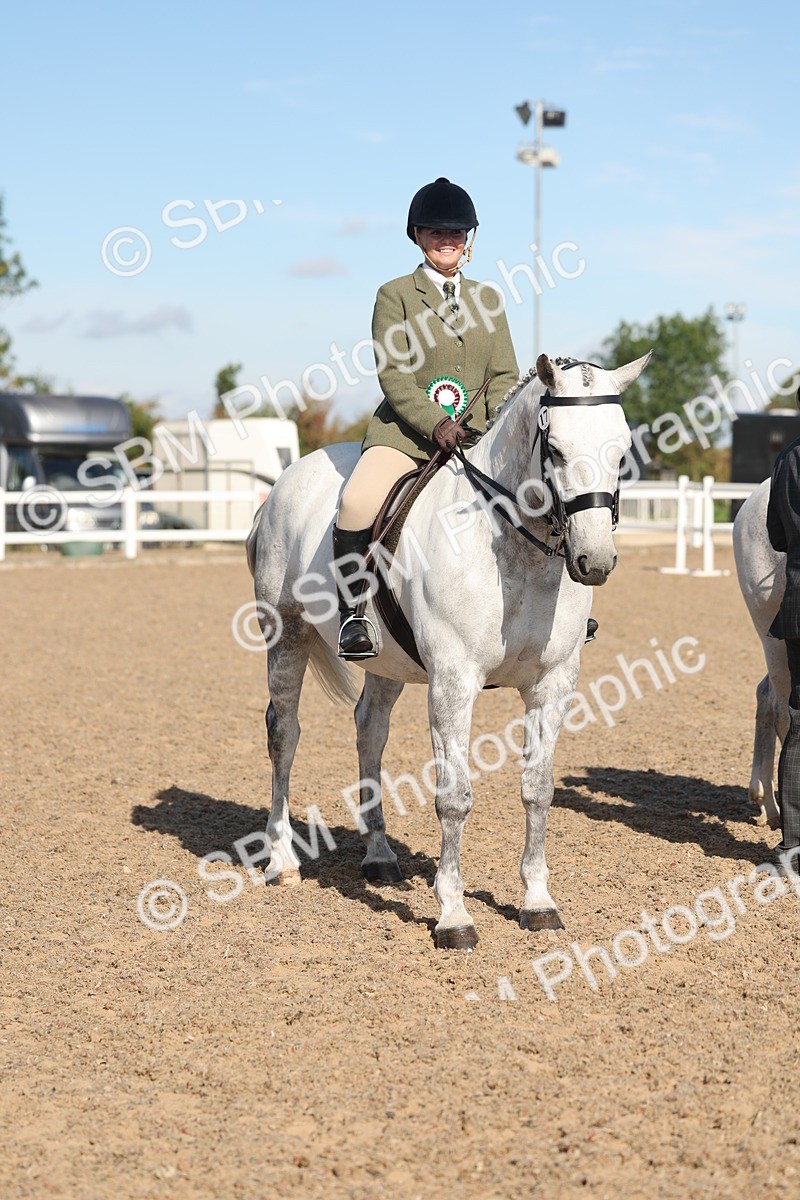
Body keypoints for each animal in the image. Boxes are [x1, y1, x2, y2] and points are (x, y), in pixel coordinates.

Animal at [246, 351, 651, 949]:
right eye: (555, 450)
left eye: (621, 450)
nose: (594, 562)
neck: (515, 554)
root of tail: (282, 485)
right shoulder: (454, 682)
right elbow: (454, 797)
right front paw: (454, 916)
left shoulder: (553, 683)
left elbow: (538, 789)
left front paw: (538, 902)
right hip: (287, 635)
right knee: (285, 733)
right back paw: (281, 859)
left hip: (385, 660)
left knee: (369, 730)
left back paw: (379, 856)